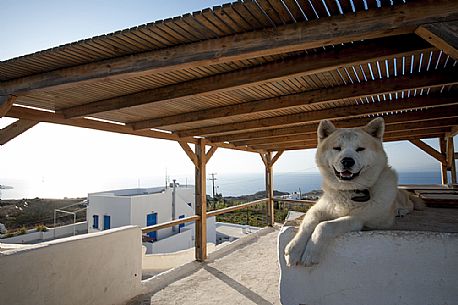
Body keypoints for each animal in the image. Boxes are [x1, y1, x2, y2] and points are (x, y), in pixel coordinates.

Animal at [284, 117, 424, 264]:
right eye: (337, 148)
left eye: (360, 149)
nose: (347, 161)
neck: (348, 191)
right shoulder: (317, 210)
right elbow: (307, 224)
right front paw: (294, 248)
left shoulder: (358, 219)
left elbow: (324, 225)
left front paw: (311, 251)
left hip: (399, 198)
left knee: (410, 205)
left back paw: (400, 210)